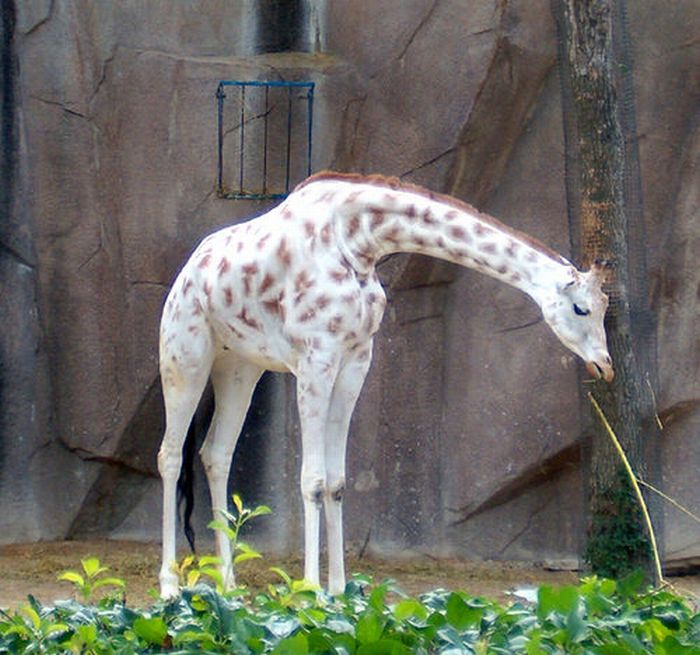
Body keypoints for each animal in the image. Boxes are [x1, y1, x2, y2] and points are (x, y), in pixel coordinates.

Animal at [157, 170, 612, 600]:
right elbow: (312, 479)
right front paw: (309, 591)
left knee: (216, 453)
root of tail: (187, 271)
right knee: (170, 455)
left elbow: (337, 482)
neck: (358, 242)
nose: (605, 366)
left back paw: (228, 583)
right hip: (184, 355)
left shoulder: (356, 360)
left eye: (605, 307)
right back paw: (170, 585)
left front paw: (338, 590)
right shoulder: (316, 358)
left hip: (240, 365)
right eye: (581, 309)